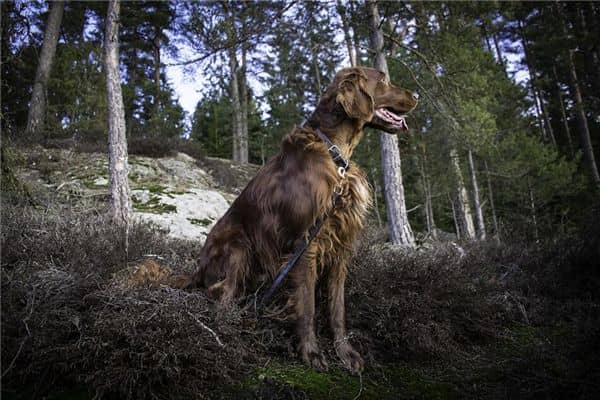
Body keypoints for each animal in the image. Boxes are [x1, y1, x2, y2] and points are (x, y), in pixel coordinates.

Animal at [189, 66, 418, 372]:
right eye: (382, 79)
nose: (417, 95)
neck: (335, 152)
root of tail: (197, 270)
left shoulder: (341, 246)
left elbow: (337, 308)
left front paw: (345, 352)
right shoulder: (306, 242)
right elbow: (307, 305)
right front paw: (311, 352)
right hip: (239, 246)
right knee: (221, 293)